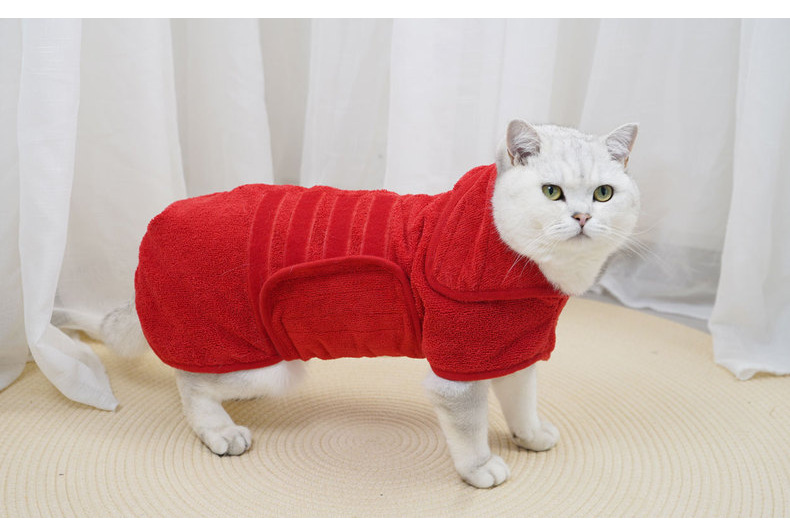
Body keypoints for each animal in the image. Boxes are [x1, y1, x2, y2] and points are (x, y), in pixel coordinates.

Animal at [102, 119, 639, 489]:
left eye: (603, 193)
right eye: (551, 192)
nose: (583, 217)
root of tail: (161, 223)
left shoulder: (511, 350)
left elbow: (522, 401)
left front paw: (529, 435)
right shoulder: (458, 370)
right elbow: (470, 428)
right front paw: (480, 467)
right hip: (258, 360)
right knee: (189, 383)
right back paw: (220, 431)